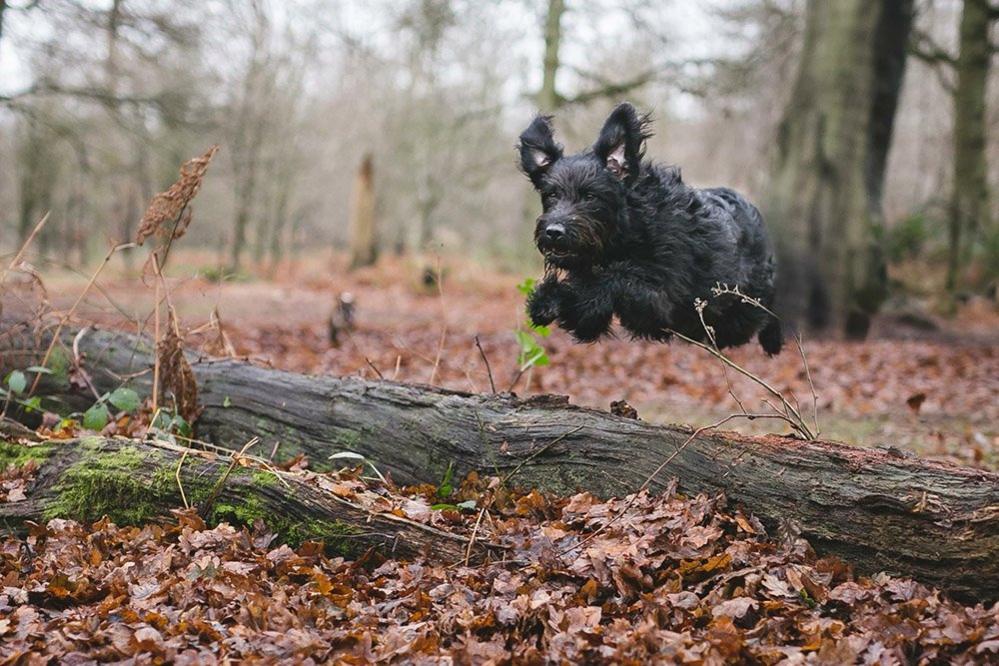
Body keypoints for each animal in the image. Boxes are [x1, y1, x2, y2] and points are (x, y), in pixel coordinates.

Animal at [520, 101, 784, 356]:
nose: (554, 231)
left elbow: (620, 277)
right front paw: (547, 300)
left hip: (744, 306)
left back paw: (773, 340)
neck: (632, 225)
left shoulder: (662, 301)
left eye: (591, 196)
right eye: (552, 194)